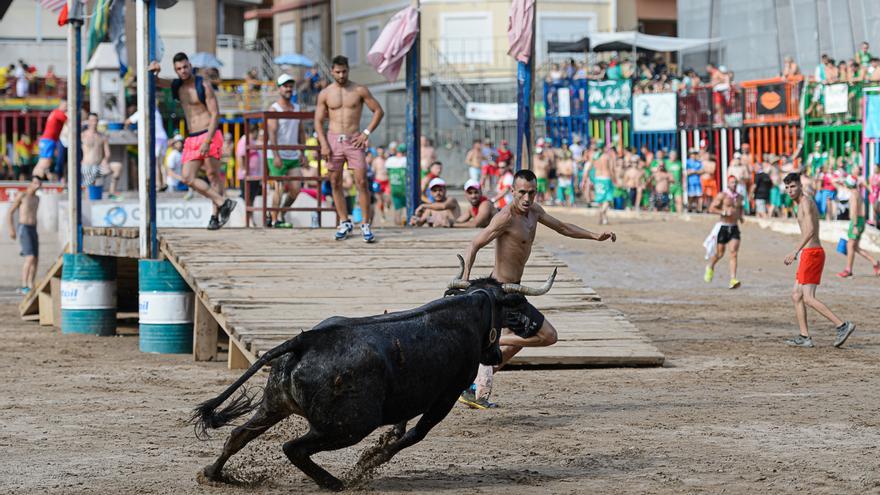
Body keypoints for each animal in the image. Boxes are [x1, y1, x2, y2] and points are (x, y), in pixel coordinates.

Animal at [193, 258, 556, 490]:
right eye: (511, 308)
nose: (496, 355)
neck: (468, 310)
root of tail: (305, 340)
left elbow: (401, 428)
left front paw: (380, 447)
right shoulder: (445, 396)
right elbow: (414, 435)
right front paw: (369, 461)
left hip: (274, 404)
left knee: (238, 434)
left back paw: (214, 474)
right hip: (349, 425)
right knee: (293, 447)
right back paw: (337, 482)